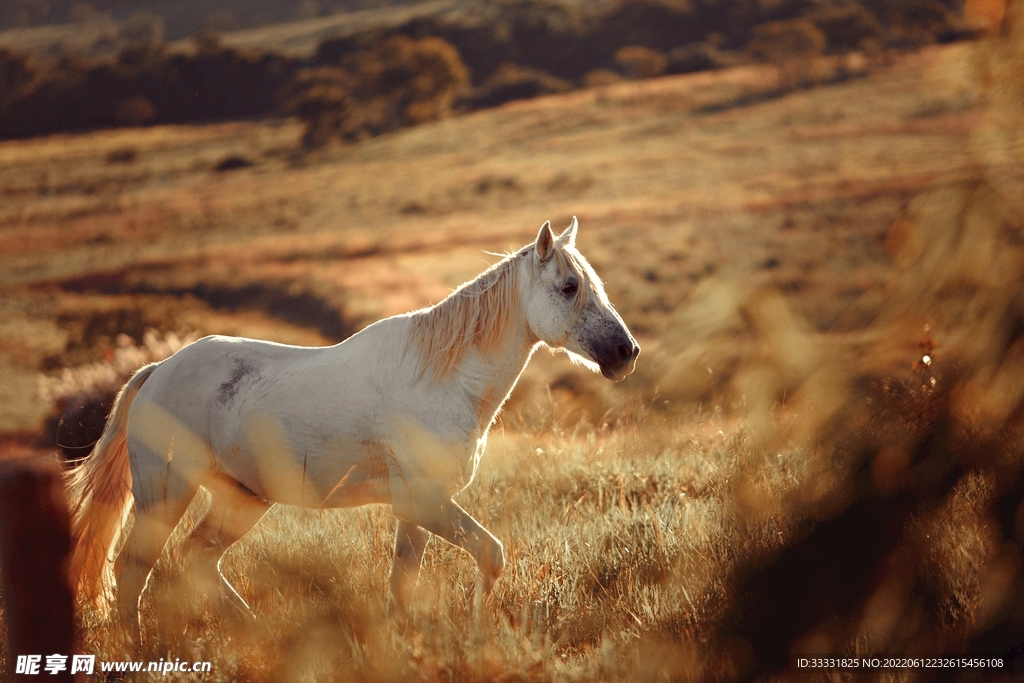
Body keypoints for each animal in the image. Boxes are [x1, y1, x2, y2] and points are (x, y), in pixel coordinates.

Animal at [66, 218, 638, 634]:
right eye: (569, 287)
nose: (625, 353)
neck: (442, 379)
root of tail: (157, 371)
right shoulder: (425, 502)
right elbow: (491, 555)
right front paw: (479, 632)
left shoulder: (415, 510)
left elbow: (403, 585)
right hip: (165, 494)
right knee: (133, 570)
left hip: (241, 500)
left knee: (196, 560)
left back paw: (256, 632)